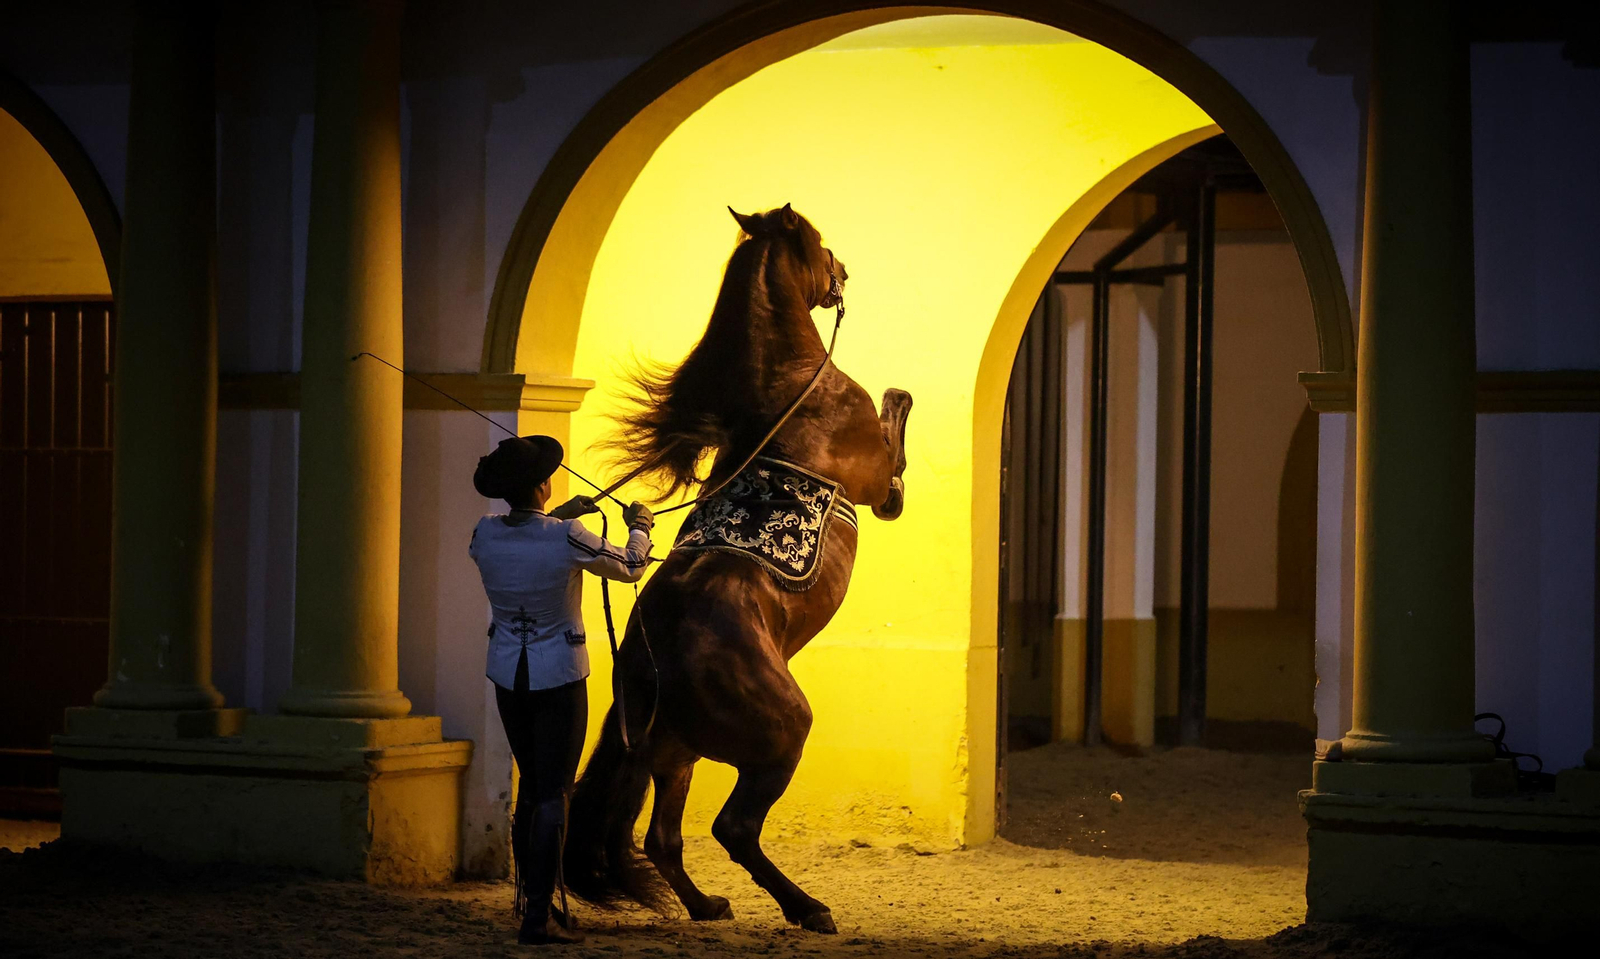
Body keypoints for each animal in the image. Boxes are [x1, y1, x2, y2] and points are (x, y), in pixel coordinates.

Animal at [563, 204, 912, 934]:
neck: (790, 389)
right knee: (733, 828)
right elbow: (896, 424)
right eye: (819, 242)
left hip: (674, 751)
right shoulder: (873, 475)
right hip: (779, 733)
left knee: (660, 838)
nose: (842, 271)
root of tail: (649, 659)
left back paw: (707, 905)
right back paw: (808, 908)